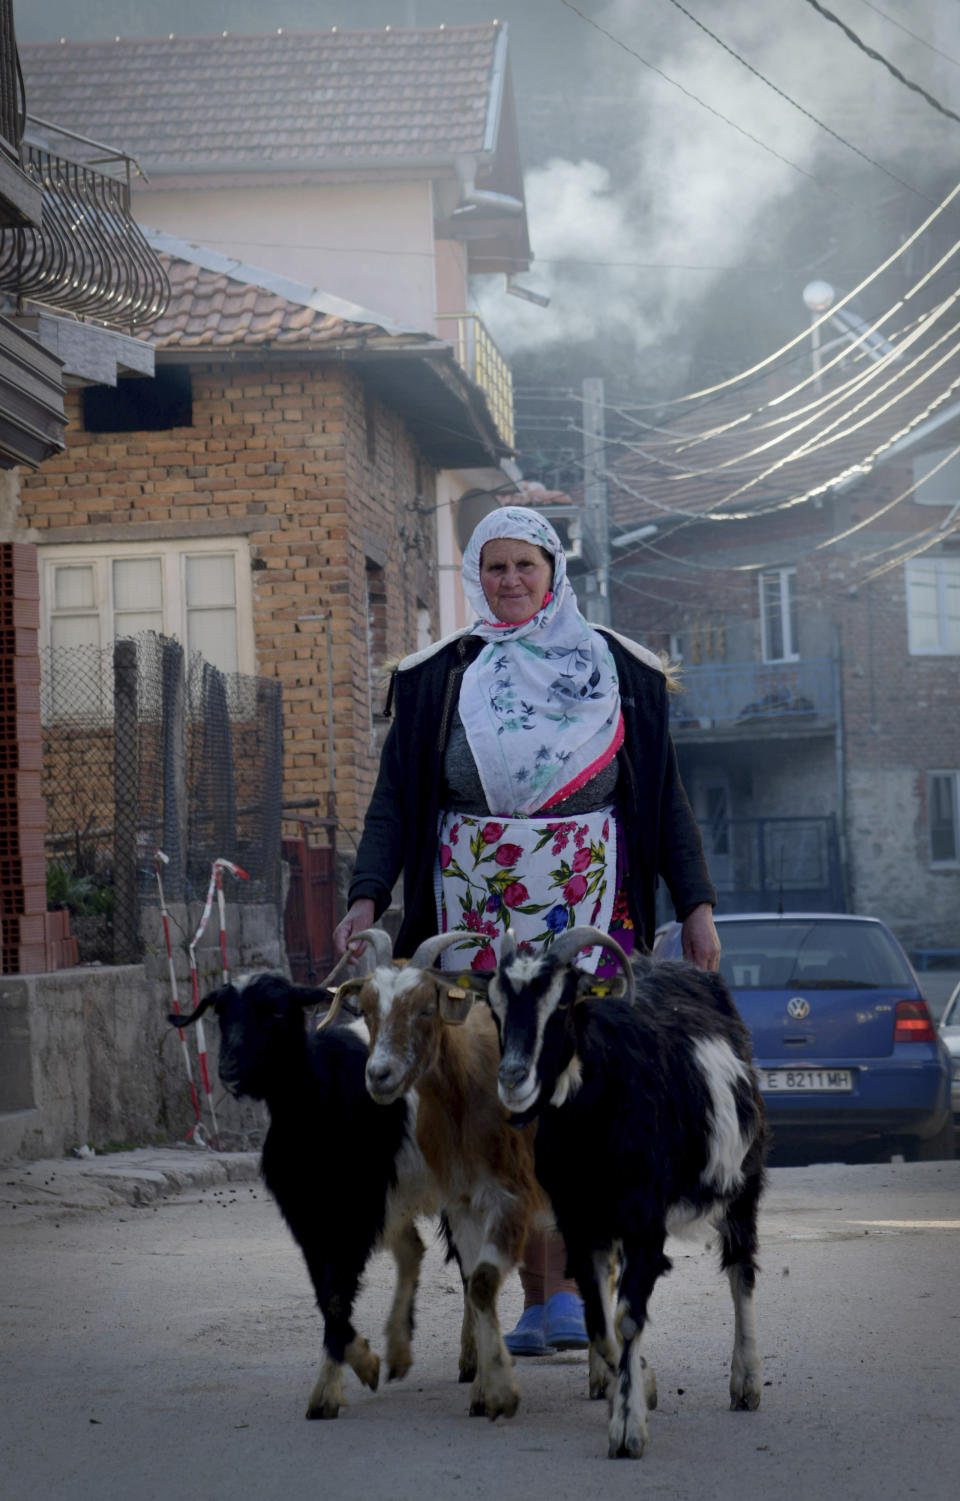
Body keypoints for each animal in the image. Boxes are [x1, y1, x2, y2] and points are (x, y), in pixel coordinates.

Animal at [169, 972, 447, 1416]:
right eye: (221, 1014)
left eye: (277, 1011)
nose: (229, 1069)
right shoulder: (308, 1216)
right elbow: (323, 1295)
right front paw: (364, 1362)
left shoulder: (355, 1210)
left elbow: (335, 1295)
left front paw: (328, 1391)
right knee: (412, 1250)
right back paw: (399, 1352)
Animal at [468, 930, 768, 1458]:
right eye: (495, 1006)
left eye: (563, 1003)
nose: (513, 1078)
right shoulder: (579, 1221)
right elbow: (600, 1323)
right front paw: (640, 1385)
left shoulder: (644, 1219)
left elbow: (628, 1318)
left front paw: (628, 1428)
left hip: (742, 1179)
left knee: (741, 1269)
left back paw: (746, 1381)